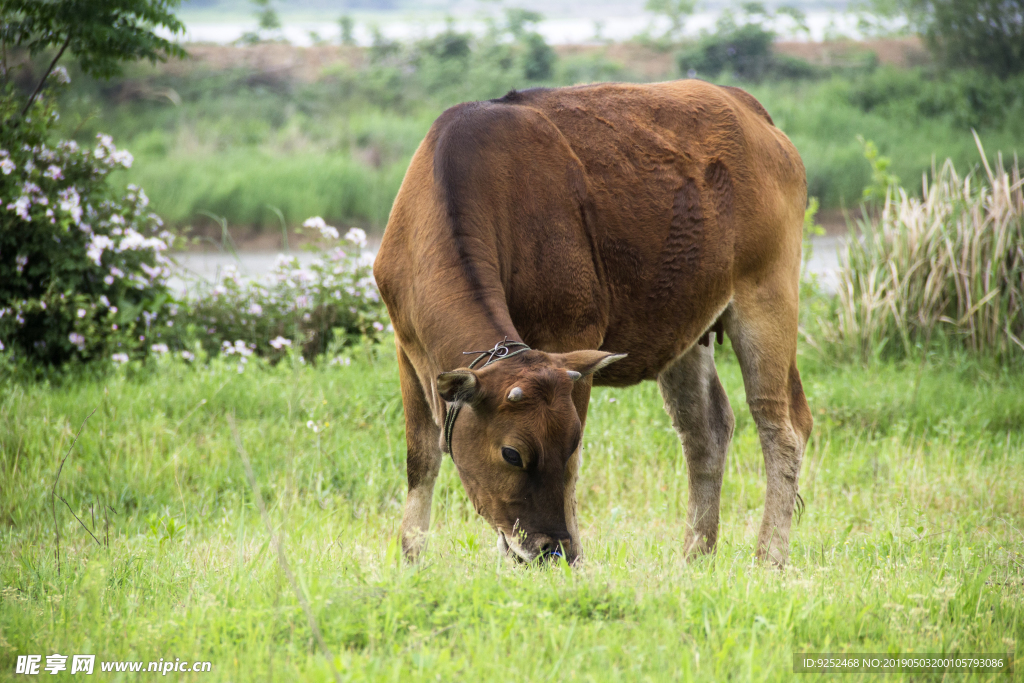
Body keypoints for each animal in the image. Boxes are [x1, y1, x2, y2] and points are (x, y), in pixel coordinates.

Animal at [372, 78, 811, 565]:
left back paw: (769, 556)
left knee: (781, 425)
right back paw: (695, 554)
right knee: (707, 430)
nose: (549, 547)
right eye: (512, 454)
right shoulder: (409, 348)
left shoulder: (572, 333)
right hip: (687, 325)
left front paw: (572, 558)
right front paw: (410, 557)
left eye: (567, 442)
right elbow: (420, 458)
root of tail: (746, 105)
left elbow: (574, 471)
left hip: (768, 293)